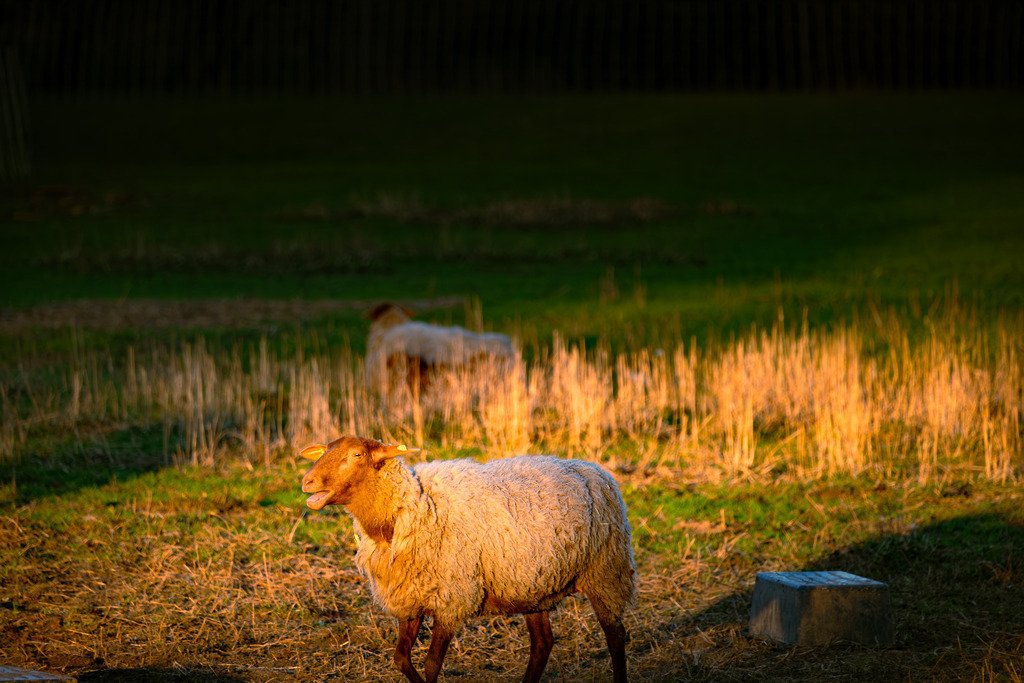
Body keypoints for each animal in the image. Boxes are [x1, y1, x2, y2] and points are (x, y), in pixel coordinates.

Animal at [300, 435, 635, 683]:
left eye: (356, 455)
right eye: (325, 451)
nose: (307, 482)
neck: (414, 507)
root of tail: (594, 468)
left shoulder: (452, 599)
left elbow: (431, 664)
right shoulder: (410, 598)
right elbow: (400, 659)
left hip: (606, 569)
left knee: (615, 635)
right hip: (533, 583)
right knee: (542, 644)